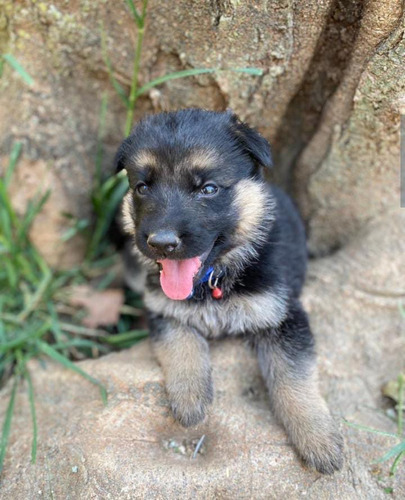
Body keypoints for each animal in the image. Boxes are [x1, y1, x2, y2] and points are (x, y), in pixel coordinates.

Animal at [115, 108, 342, 472]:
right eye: (142, 187)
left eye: (208, 189)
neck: (214, 279)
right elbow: (181, 341)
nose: (161, 243)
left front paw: (318, 436)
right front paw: (190, 397)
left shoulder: (284, 316)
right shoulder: (163, 310)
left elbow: (294, 377)